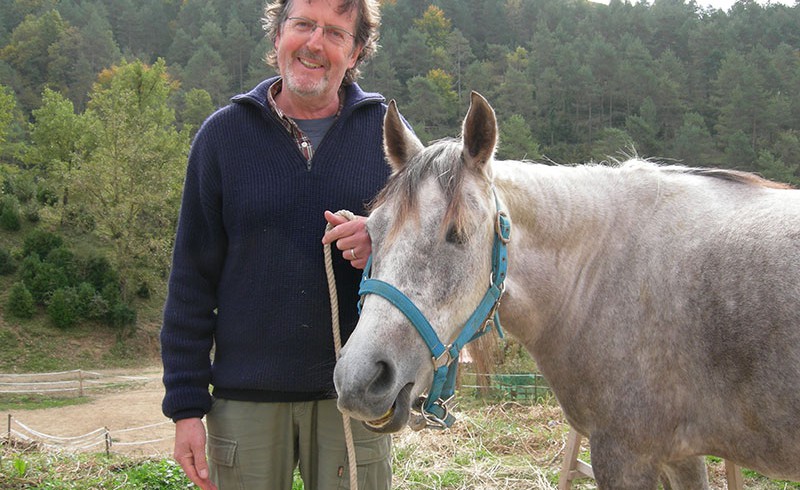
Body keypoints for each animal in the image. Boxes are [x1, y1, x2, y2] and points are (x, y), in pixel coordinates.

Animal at [334, 93, 800, 490]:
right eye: (372, 231)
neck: (599, 272)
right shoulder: (681, 455)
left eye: (457, 235)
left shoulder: (627, 455)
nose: (359, 378)